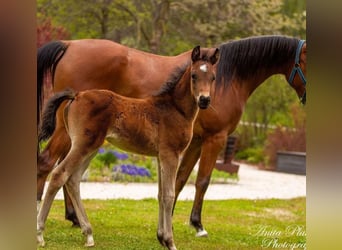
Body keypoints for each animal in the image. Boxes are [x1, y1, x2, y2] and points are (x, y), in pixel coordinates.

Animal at [38, 35, 308, 236]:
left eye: (212, 77)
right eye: (306, 61)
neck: (229, 77)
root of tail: (69, 45)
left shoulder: (194, 142)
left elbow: (179, 180)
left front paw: (168, 222)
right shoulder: (215, 139)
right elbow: (202, 181)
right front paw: (197, 224)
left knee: (64, 170)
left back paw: (73, 218)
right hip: (71, 134)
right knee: (49, 163)